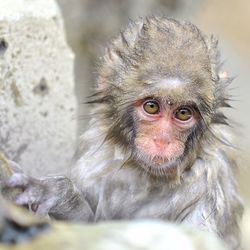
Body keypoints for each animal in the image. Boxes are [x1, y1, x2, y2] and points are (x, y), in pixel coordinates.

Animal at [5, 16, 244, 249]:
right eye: (152, 107)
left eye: (183, 113)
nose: (162, 140)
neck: (144, 172)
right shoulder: (93, 160)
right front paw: (58, 194)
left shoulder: (210, 181)